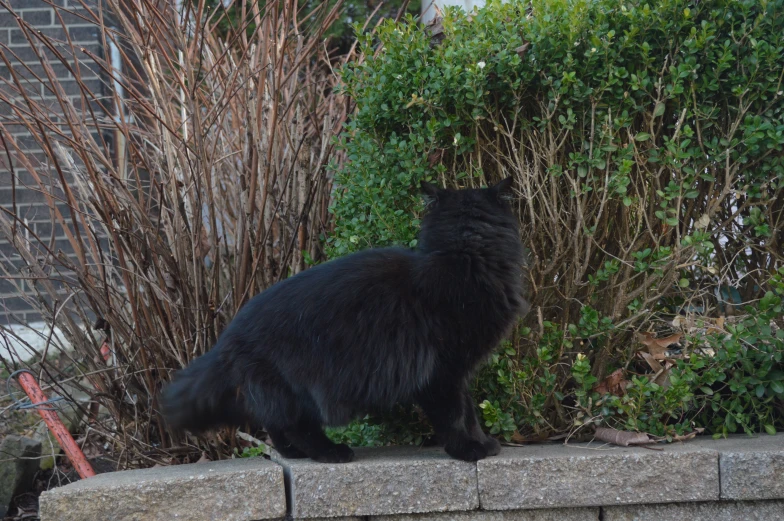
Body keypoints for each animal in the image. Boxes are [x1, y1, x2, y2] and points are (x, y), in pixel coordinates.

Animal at [158, 177, 528, 462]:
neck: (464, 256)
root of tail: (227, 337)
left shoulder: (459, 371)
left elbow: (470, 411)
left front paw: (484, 443)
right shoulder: (442, 372)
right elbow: (455, 415)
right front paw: (467, 450)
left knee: (275, 424)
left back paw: (294, 454)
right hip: (302, 386)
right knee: (295, 425)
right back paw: (330, 452)